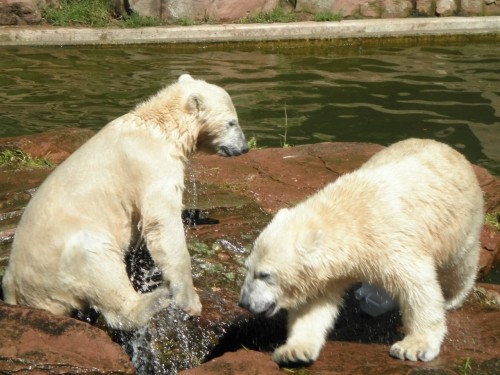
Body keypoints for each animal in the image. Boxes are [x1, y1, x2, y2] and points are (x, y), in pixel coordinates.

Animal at [1, 74, 248, 332]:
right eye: (232, 122)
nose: (244, 148)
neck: (158, 127)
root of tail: (11, 285)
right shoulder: (151, 164)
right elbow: (161, 224)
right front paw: (189, 300)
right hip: (56, 263)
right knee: (96, 260)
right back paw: (155, 298)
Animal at [240, 138, 482, 364]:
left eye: (265, 274)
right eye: (247, 267)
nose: (244, 302)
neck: (351, 223)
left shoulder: (393, 239)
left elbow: (417, 287)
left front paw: (413, 347)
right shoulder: (327, 274)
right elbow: (313, 306)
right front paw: (294, 351)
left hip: (459, 220)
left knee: (460, 264)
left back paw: (452, 297)